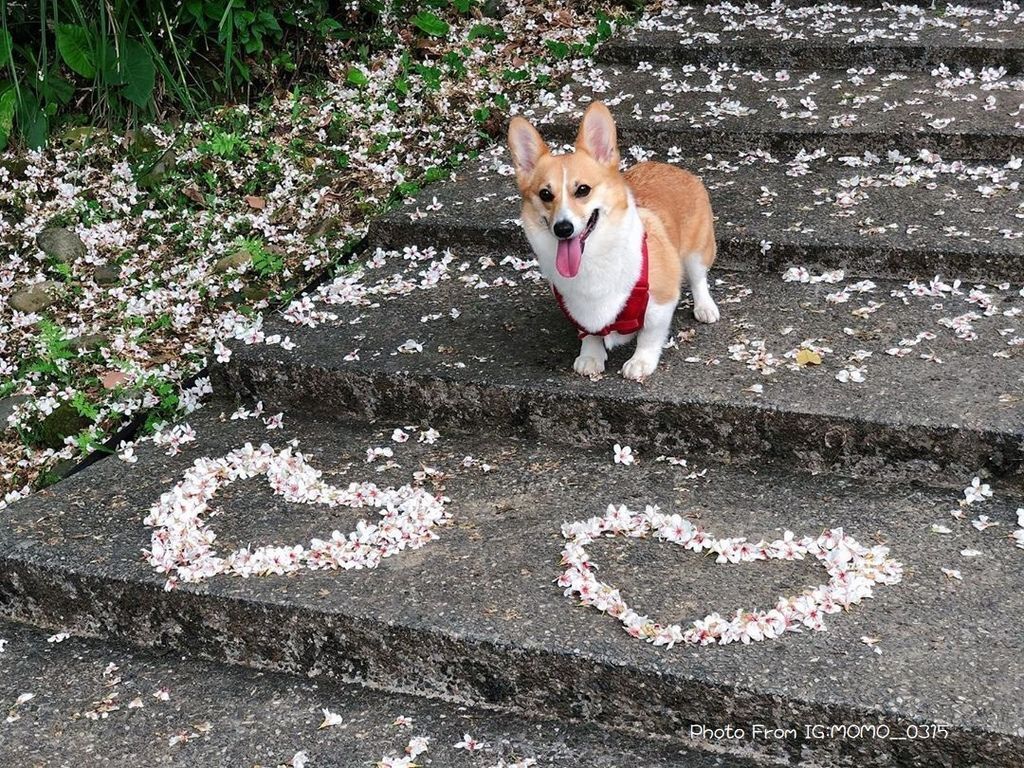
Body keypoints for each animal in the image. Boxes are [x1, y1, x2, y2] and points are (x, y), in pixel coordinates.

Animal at [505, 102, 716, 382]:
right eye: (545, 194)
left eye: (582, 190)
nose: (563, 228)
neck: (592, 260)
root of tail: (673, 167)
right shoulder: (579, 311)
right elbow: (590, 333)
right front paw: (591, 355)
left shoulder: (662, 300)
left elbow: (650, 334)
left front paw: (640, 361)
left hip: (696, 251)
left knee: (698, 278)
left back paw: (705, 307)